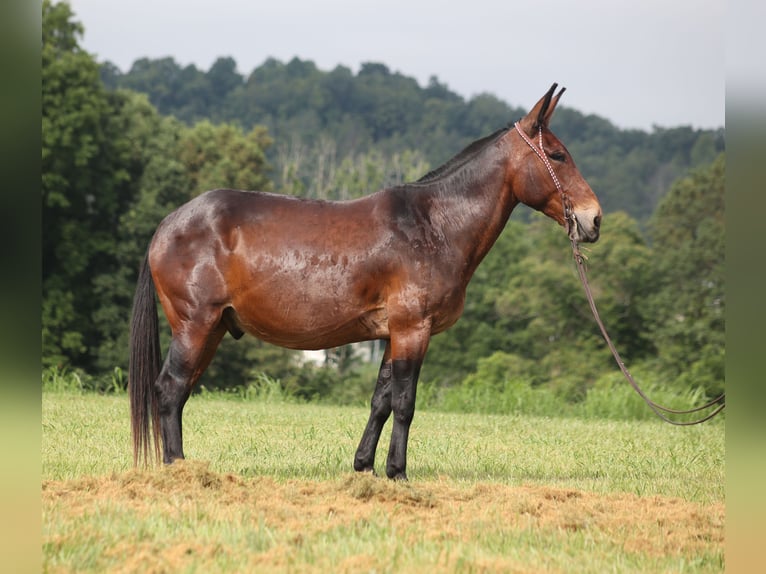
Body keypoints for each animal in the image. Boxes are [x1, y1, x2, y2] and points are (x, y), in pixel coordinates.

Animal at [129, 83, 602, 480]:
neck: (433, 224)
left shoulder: (392, 334)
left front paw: (364, 468)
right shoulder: (413, 329)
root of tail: (168, 224)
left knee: (179, 392)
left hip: (212, 329)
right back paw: (178, 469)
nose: (593, 219)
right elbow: (405, 404)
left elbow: (381, 402)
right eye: (557, 155)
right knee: (169, 389)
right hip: (195, 325)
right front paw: (398, 473)